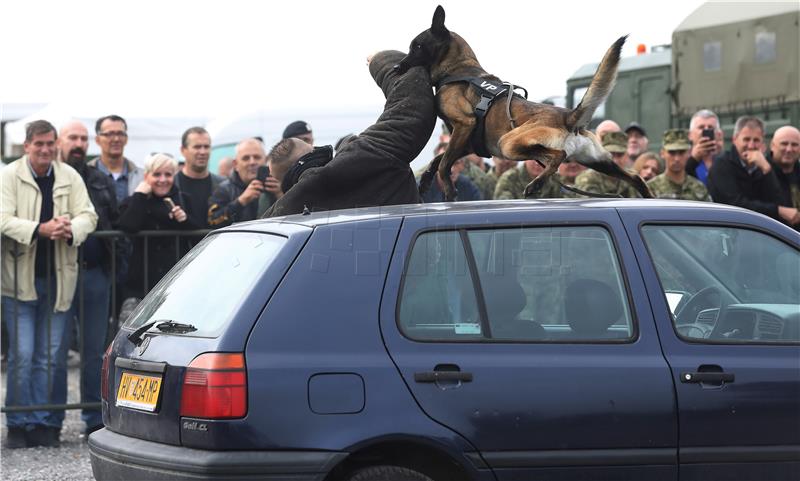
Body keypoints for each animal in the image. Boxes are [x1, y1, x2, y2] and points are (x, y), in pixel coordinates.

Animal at [396, 5, 652, 199]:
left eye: (416, 46)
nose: (398, 67)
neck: (459, 68)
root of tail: (568, 116)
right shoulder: (467, 141)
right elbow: (440, 159)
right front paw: (426, 180)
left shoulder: (465, 124)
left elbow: (444, 164)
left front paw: (448, 191)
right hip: (597, 161)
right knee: (636, 177)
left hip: (508, 143)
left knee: (558, 156)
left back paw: (536, 184)